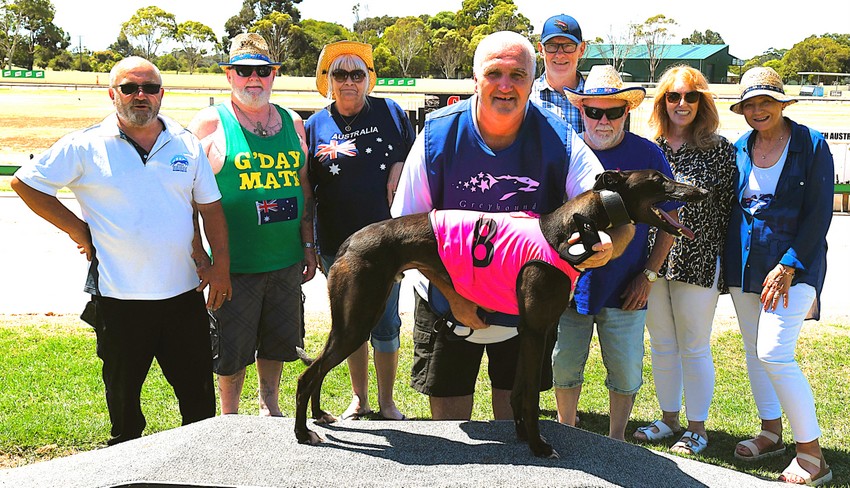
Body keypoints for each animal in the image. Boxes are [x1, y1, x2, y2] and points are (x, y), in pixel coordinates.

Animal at [294, 169, 709, 458]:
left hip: (350, 320)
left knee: (317, 366)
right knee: (307, 374)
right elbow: (529, 398)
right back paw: (302, 432)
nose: (701, 192)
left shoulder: (531, 331)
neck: (567, 229)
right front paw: (539, 447)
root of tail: (350, 241)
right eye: (658, 180)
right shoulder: (538, 329)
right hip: (358, 319)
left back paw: (319, 416)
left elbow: (520, 392)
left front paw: (524, 436)